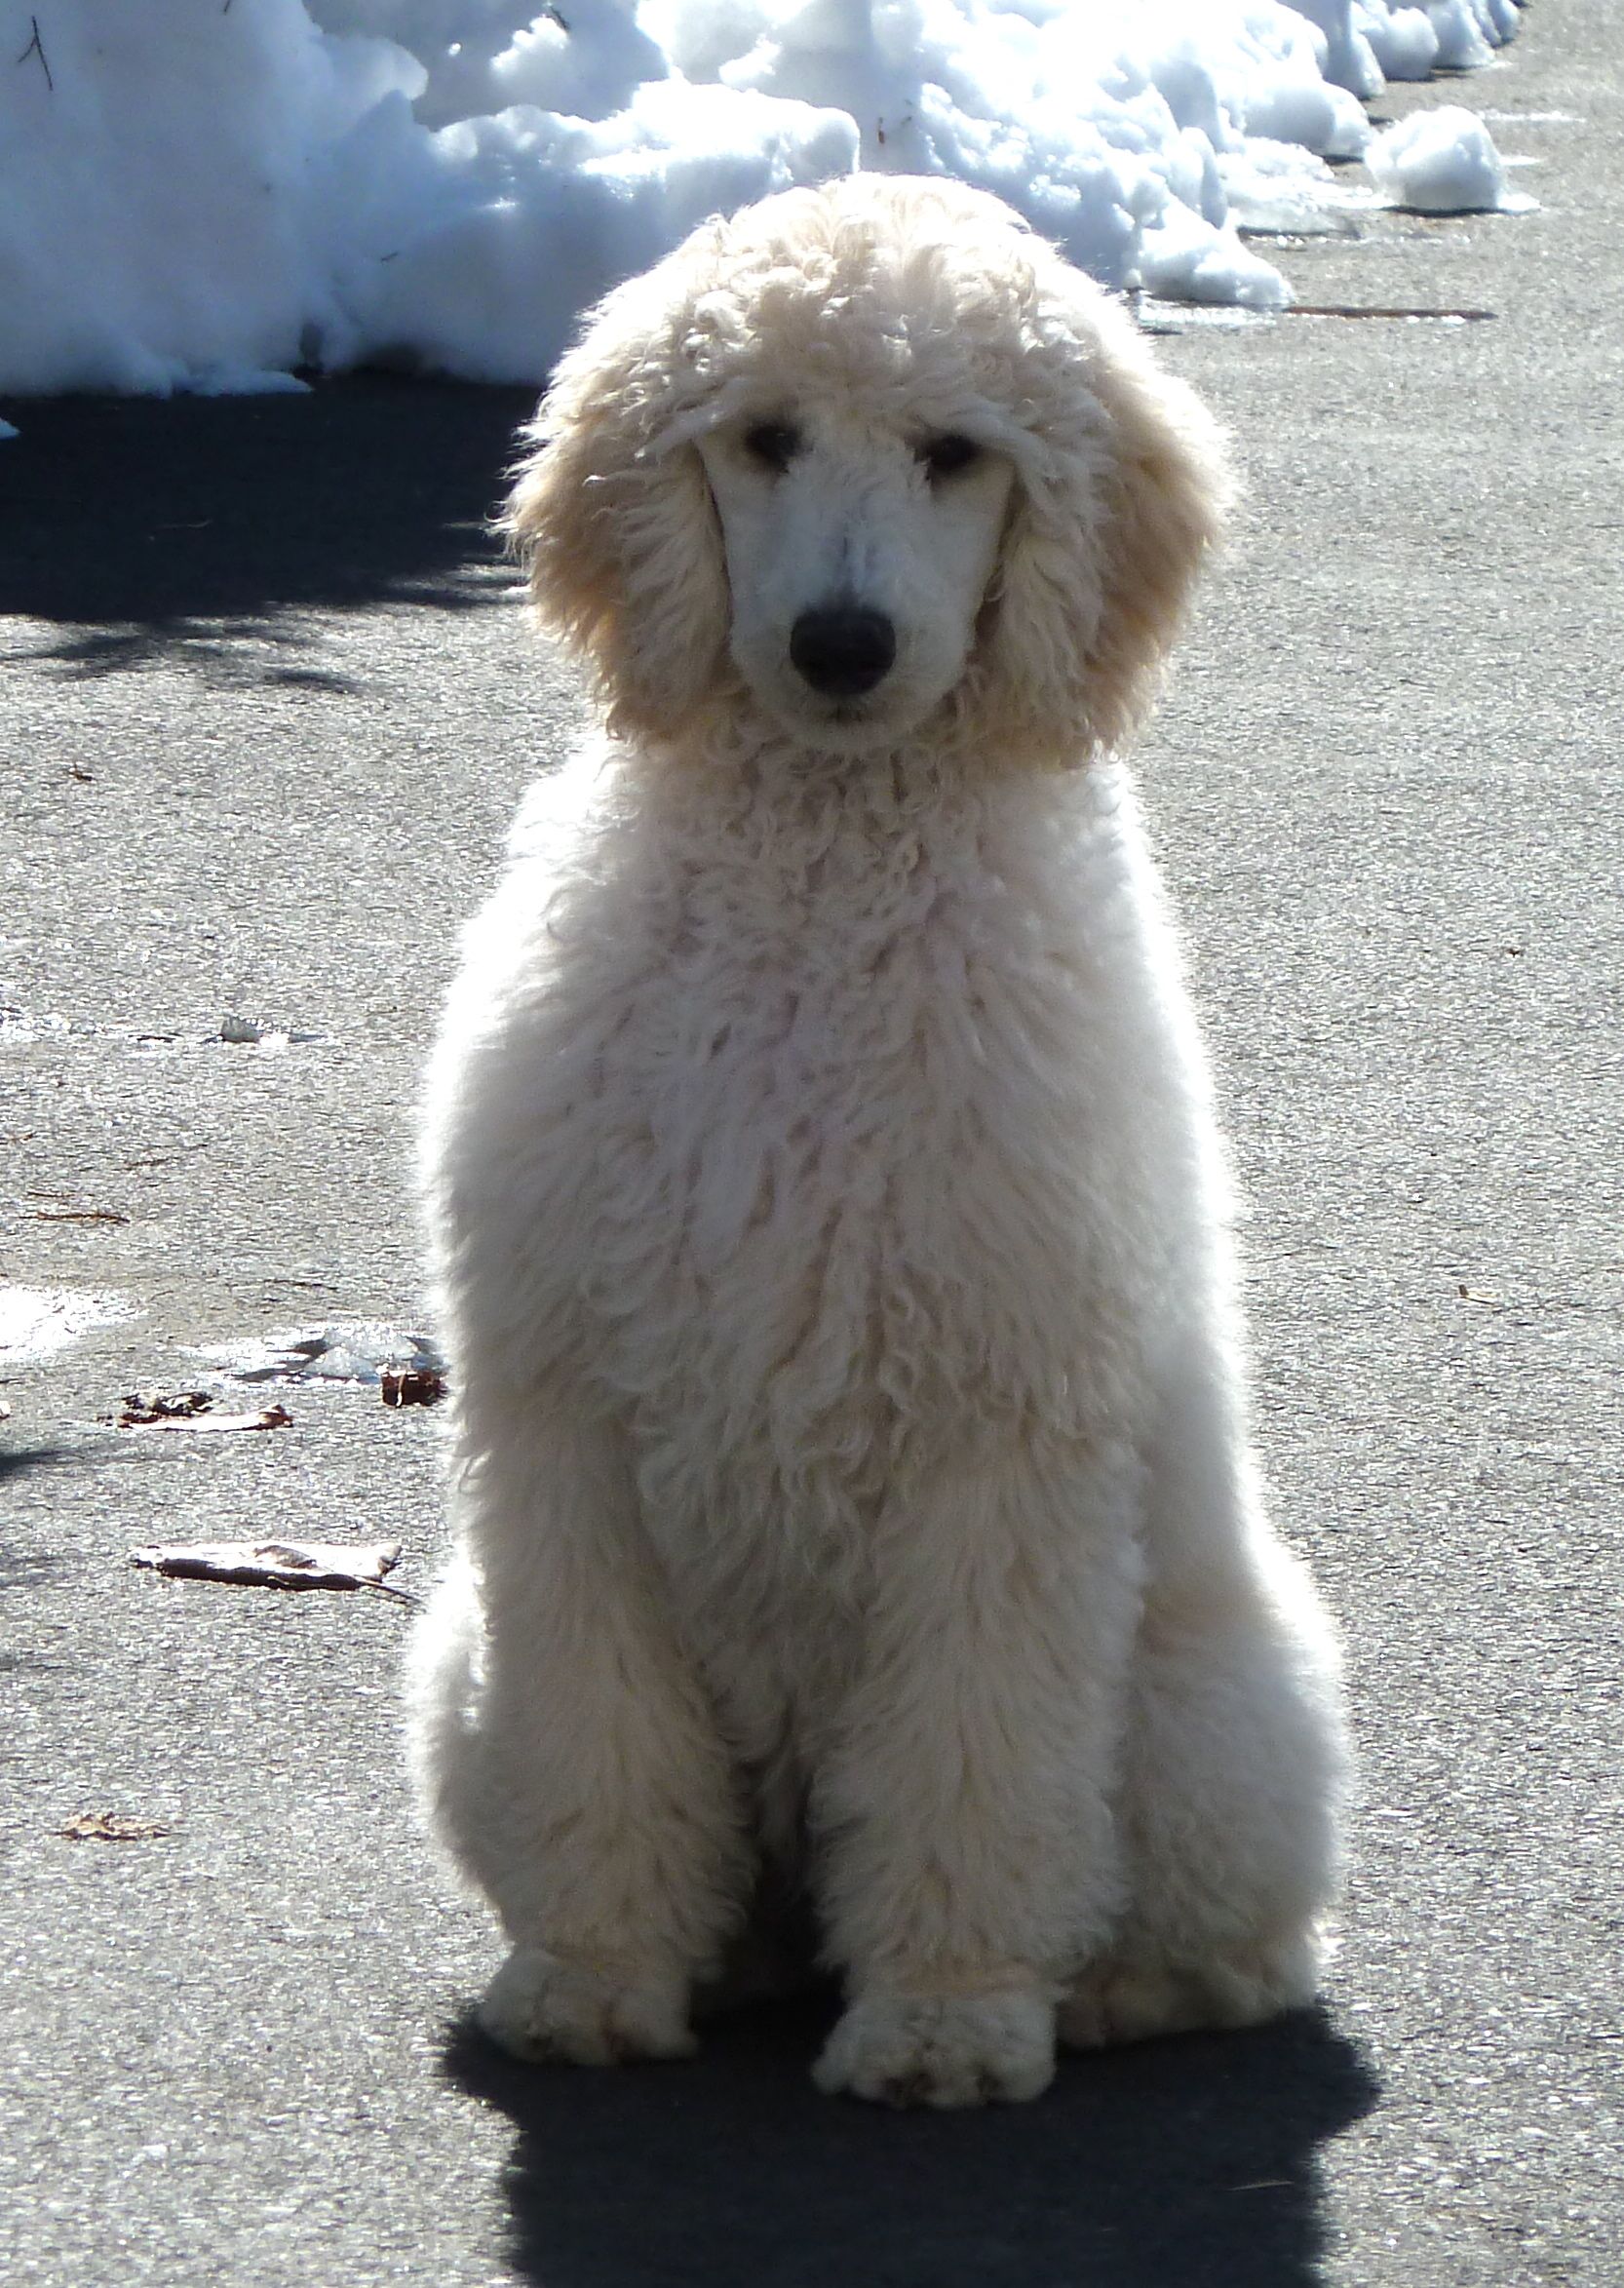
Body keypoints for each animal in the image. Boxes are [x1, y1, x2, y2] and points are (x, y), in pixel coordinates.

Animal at [413, 178, 1354, 2105]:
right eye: (764, 436)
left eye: (956, 452)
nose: (840, 647)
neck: (825, 883)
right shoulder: (563, 1423)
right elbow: (598, 1740)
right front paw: (592, 1982)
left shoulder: (998, 1431)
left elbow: (972, 1759)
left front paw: (944, 2021)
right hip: (458, 1657)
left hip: (1221, 1715)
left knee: (1234, 1939)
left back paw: (1106, 1988)